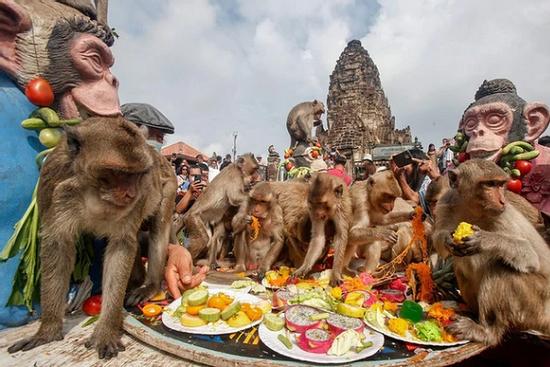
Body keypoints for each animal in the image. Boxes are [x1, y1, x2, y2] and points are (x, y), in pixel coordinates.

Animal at [8, 118, 177, 360]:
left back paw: (149, 285)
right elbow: (58, 246)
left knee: (158, 226)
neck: (93, 192)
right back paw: (136, 281)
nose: (131, 193)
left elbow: (121, 247)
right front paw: (48, 329)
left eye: (138, 174)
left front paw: (105, 330)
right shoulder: (52, 183)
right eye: (118, 173)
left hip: (169, 185)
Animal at [436, 160, 550, 346]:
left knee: (500, 269)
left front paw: (485, 240)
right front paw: (447, 239)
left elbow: (530, 257)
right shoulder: (445, 203)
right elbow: (438, 240)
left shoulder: (504, 217)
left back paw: (486, 331)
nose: (502, 200)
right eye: (489, 184)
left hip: (537, 308)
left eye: (500, 184)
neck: (473, 211)